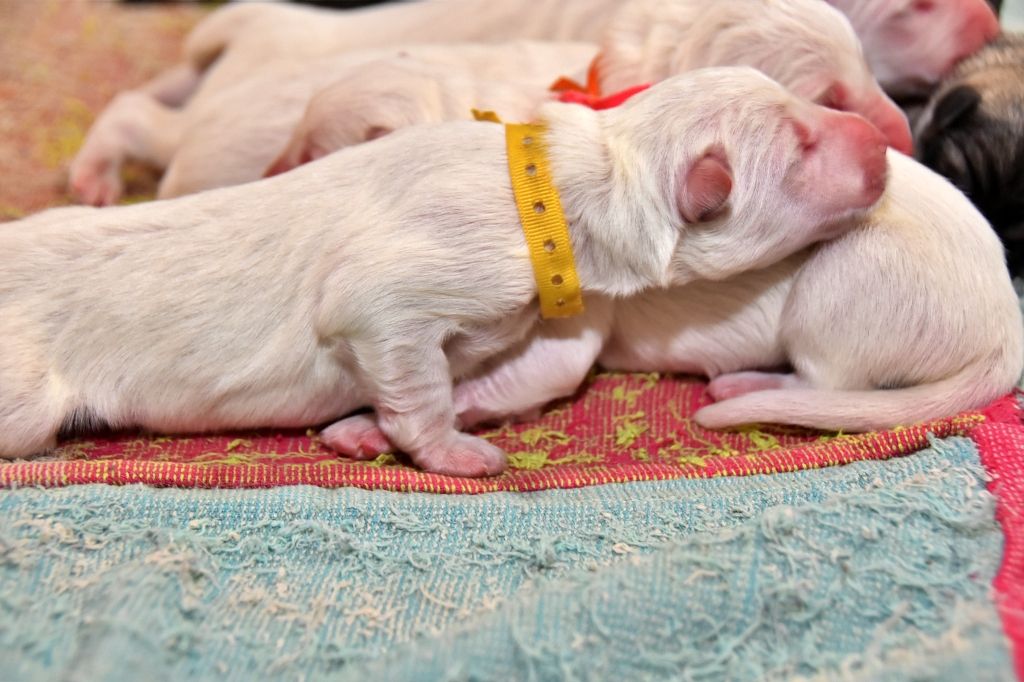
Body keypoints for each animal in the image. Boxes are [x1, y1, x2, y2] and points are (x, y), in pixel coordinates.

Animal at [2, 69, 889, 475]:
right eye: (800, 147)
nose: (885, 142)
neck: (568, 180)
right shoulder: (401, 293)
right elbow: (411, 373)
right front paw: (454, 453)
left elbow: (501, 375)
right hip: (23, 394)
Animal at [448, 150, 1022, 436]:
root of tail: (1005, 332)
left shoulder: (576, 314)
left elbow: (545, 367)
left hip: (838, 287)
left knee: (827, 384)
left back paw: (743, 385)